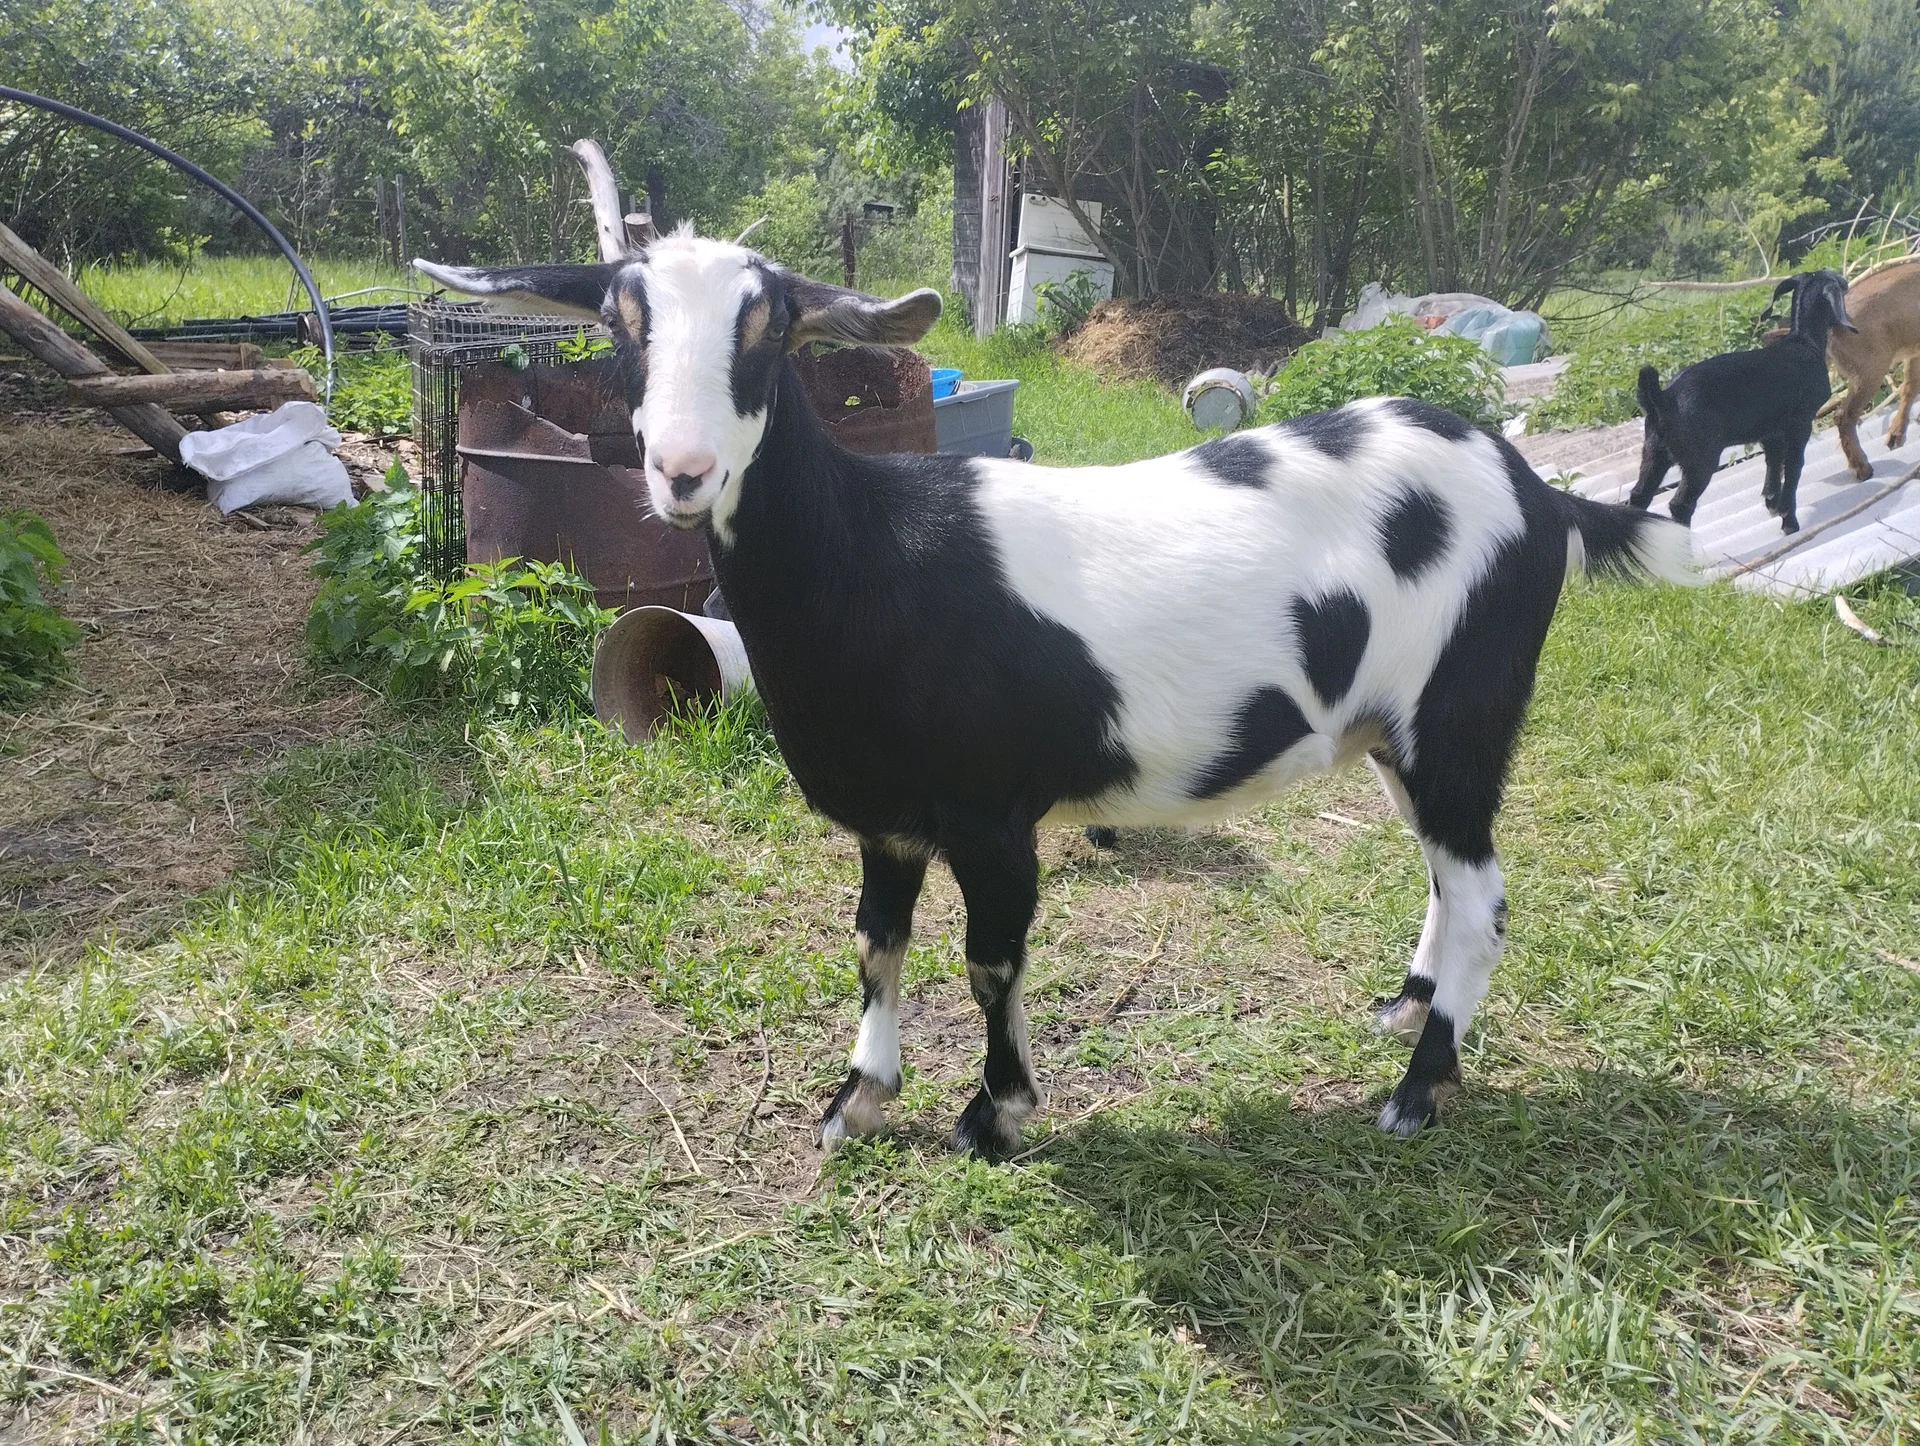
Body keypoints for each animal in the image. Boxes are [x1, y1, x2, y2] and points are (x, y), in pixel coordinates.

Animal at [415, 185, 1693, 1157]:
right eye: (623, 326)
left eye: (769, 330)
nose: (681, 473)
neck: (875, 555)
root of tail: (1539, 494)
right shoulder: (889, 816)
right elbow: (876, 942)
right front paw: (858, 1099)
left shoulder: (992, 811)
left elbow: (991, 959)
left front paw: (995, 1115)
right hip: (1387, 726)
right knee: (1440, 872)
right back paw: (1403, 1009)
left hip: (1463, 706)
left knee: (1480, 893)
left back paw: (1419, 1091)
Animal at [1631, 270, 1856, 534]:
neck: (1803, 341)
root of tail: (1663, 398)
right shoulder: (1800, 424)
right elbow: (1793, 467)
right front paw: (1789, 520)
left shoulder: (1771, 432)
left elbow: (1773, 463)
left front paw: (1772, 502)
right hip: (1701, 460)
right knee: (1680, 504)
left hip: (1654, 453)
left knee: (1638, 497)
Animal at [1825, 254, 1920, 480]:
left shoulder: (1914, 351)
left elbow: (1910, 388)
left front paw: (1895, 435)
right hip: (1870, 371)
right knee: (1843, 416)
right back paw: (1862, 467)